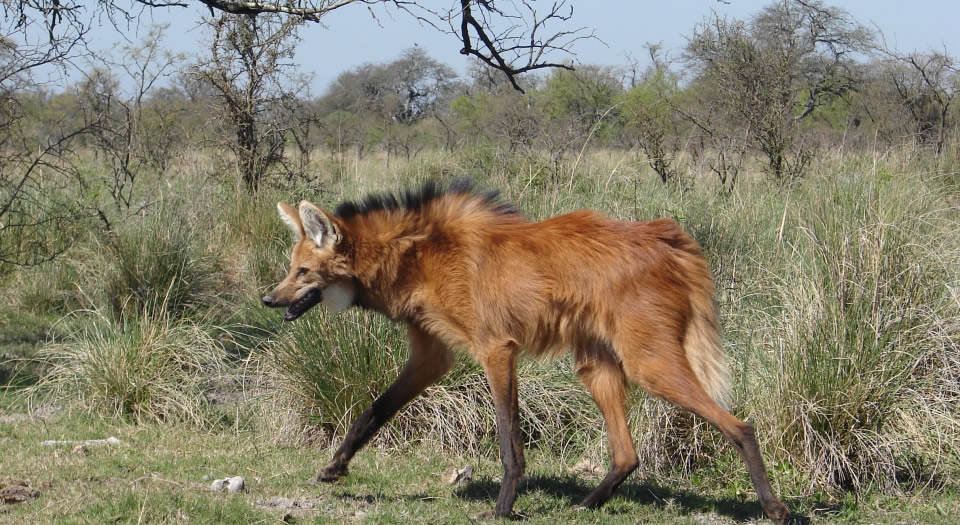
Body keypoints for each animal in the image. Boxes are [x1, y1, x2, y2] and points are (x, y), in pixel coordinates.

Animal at [262, 179, 788, 520]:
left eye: (302, 272)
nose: (269, 299)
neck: (415, 257)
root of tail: (667, 235)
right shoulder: (433, 356)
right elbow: (374, 411)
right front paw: (333, 468)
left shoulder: (496, 349)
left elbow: (508, 442)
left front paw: (501, 509)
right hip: (597, 367)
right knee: (626, 453)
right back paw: (587, 504)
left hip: (649, 365)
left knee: (740, 427)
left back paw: (775, 508)